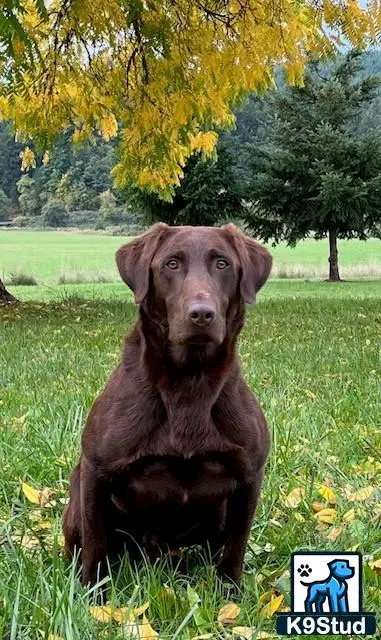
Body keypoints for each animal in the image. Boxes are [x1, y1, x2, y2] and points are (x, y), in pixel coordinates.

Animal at [62, 222, 272, 588]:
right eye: (171, 264)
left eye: (222, 264)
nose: (201, 314)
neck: (189, 383)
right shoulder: (96, 472)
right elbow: (95, 546)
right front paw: (91, 596)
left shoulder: (249, 477)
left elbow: (235, 547)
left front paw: (230, 594)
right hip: (77, 495)